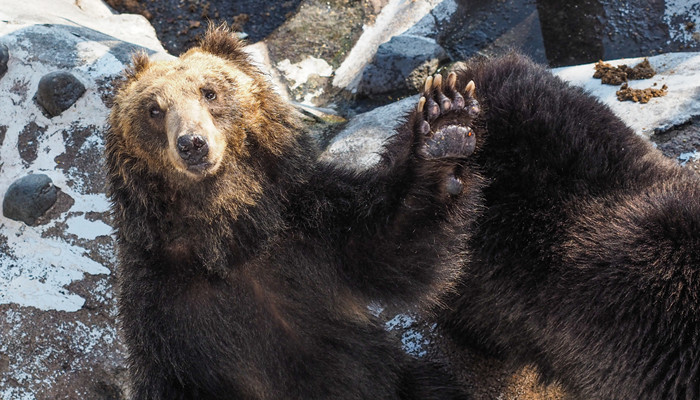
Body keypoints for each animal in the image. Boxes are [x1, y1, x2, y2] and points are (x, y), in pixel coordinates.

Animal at [106, 25, 482, 400]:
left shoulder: (311, 222)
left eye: (209, 91)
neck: (230, 233)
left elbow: (391, 247)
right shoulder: (161, 302)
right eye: (154, 109)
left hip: (403, 380)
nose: (192, 143)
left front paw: (444, 122)